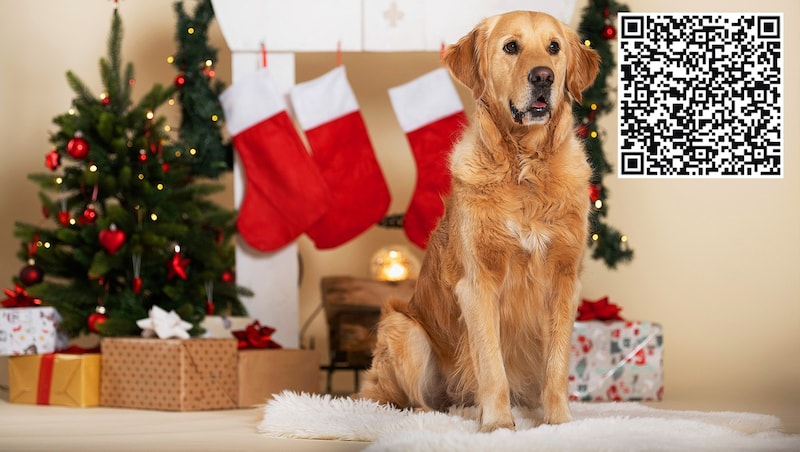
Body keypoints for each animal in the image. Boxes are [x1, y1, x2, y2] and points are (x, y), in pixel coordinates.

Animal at [358, 10, 600, 430]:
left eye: (554, 47)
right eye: (511, 47)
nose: (543, 77)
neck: (524, 167)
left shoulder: (565, 279)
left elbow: (556, 365)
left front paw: (558, 423)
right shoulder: (478, 281)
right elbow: (491, 364)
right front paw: (499, 424)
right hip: (404, 328)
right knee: (414, 402)